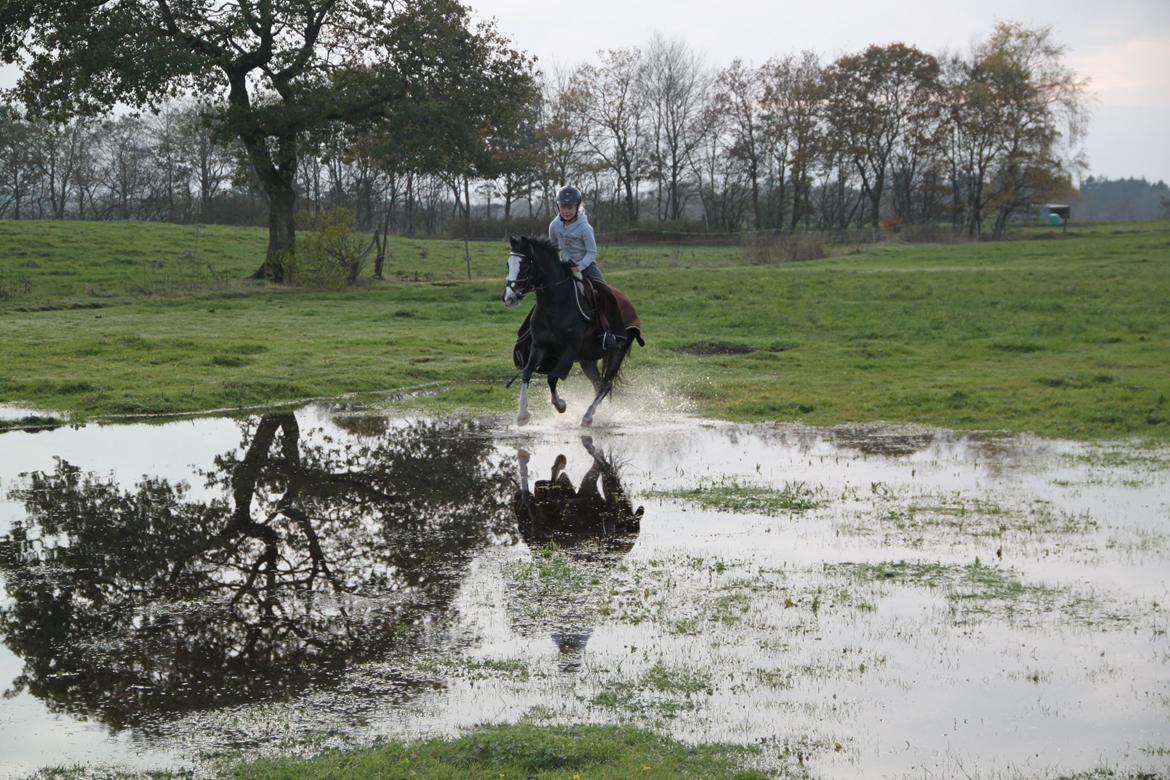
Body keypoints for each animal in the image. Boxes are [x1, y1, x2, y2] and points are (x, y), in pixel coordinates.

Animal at [502, 235, 642, 427]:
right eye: (508, 264)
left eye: (524, 266)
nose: (509, 298)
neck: (556, 306)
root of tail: (627, 302)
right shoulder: (539, 347)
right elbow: (527, 373)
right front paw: (522, 415)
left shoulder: (570, 350)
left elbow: (552, 377)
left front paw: (561, 405)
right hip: (587, 360)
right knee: (598, 384)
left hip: (617, 352)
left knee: (606, 384)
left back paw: (588, 417)